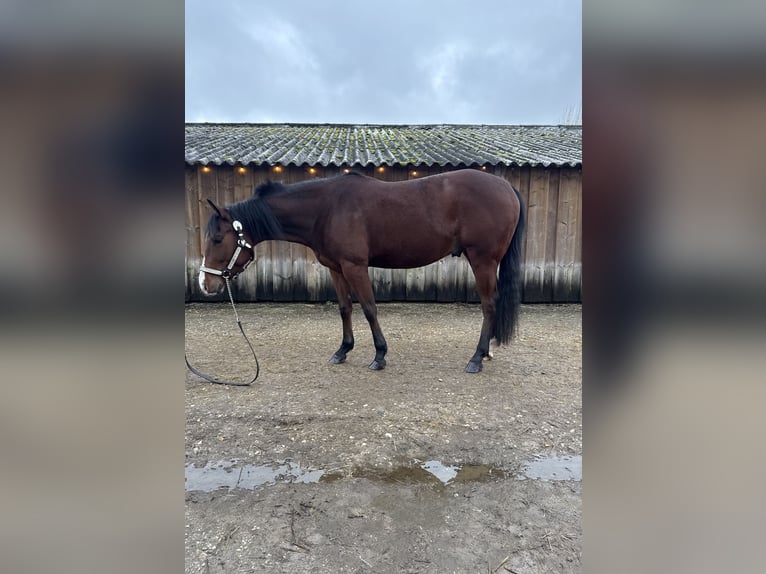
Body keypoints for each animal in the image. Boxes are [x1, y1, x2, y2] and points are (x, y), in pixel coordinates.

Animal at [199, 169, 525, 373]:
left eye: (217, 239)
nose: (205, 284)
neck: (326, 208)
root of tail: (506, 187)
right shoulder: (336, 267)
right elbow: (345, 308)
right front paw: (343, 350)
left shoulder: (355, 266)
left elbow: (369, 308)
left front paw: (379, 355)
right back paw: (487, 351)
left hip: (482, 259)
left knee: (488, 305)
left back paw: (477, 358)